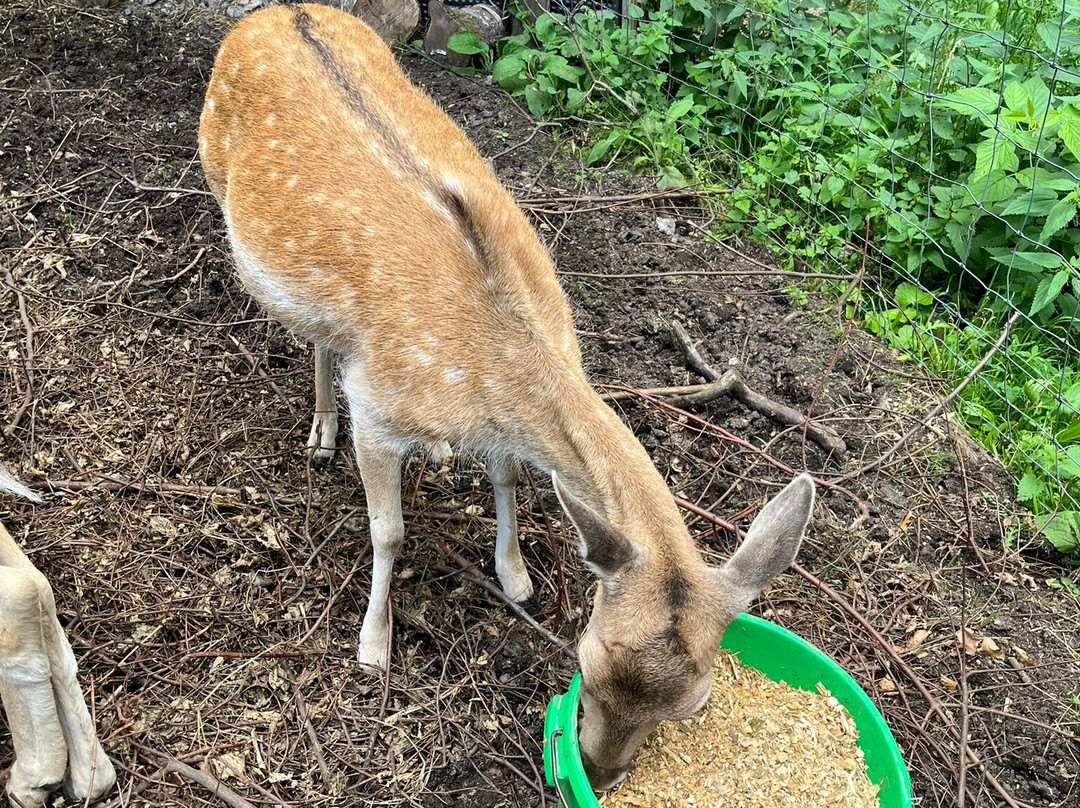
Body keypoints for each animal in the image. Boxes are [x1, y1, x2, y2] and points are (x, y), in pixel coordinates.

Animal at [198, 4, 812, 790]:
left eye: (695, 705)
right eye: (586, 662)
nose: (597, 772)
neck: (489, 365)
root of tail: (274, 13)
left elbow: (507, 474)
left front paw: (514, 577)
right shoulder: (380, 404)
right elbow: (389, 532)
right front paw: (373, 644)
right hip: (217, 180)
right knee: (310, 334)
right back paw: (320, 433)